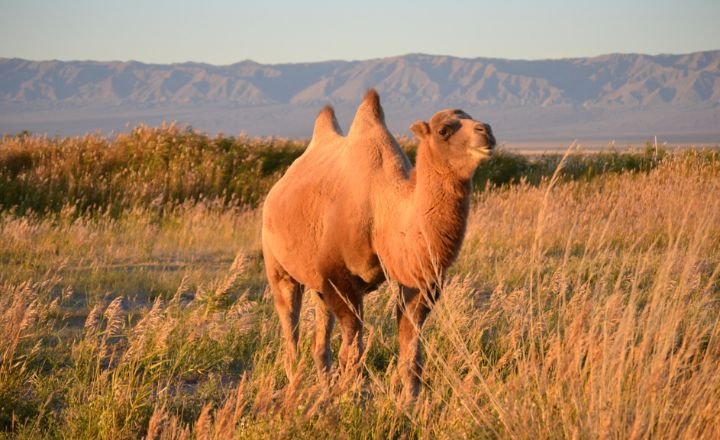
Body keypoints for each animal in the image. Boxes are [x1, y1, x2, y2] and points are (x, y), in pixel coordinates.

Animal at [262, 89, 496, 398]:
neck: (383, 209)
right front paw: (353, 395)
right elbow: (353, 347)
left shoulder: (417, 279)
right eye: (444, 130)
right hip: (278, 266)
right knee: (291, 327)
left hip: (317, 284)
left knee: (320, 337)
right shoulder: (339, 276)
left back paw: (324, 387)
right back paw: (296, 386)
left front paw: (411, 398)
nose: (487, 131)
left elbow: (411, 347)